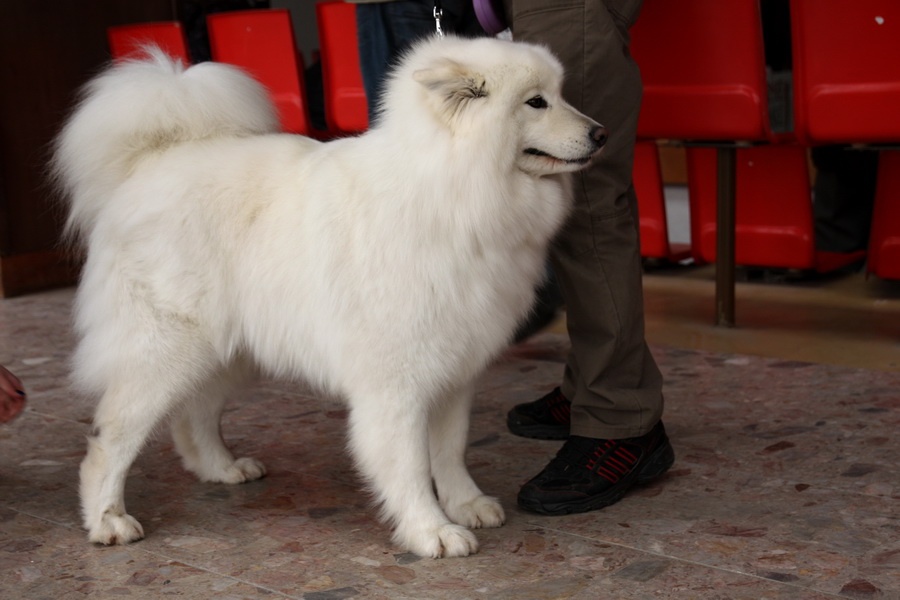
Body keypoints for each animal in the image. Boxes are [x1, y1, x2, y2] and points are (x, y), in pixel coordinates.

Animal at [52, 34, 608, 556]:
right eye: (536, 102)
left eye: (559, 94)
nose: (601, 134)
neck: (450, 195)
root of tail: (149, 164)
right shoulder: (396, 383)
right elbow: (409, 464)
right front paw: (431, 531)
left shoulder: (455, 371)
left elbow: (450, 451)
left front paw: (465, 504)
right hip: (166, 351)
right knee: (110, 441)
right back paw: (108, 522)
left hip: (225, 352)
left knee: (193, 417)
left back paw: (222, 468)